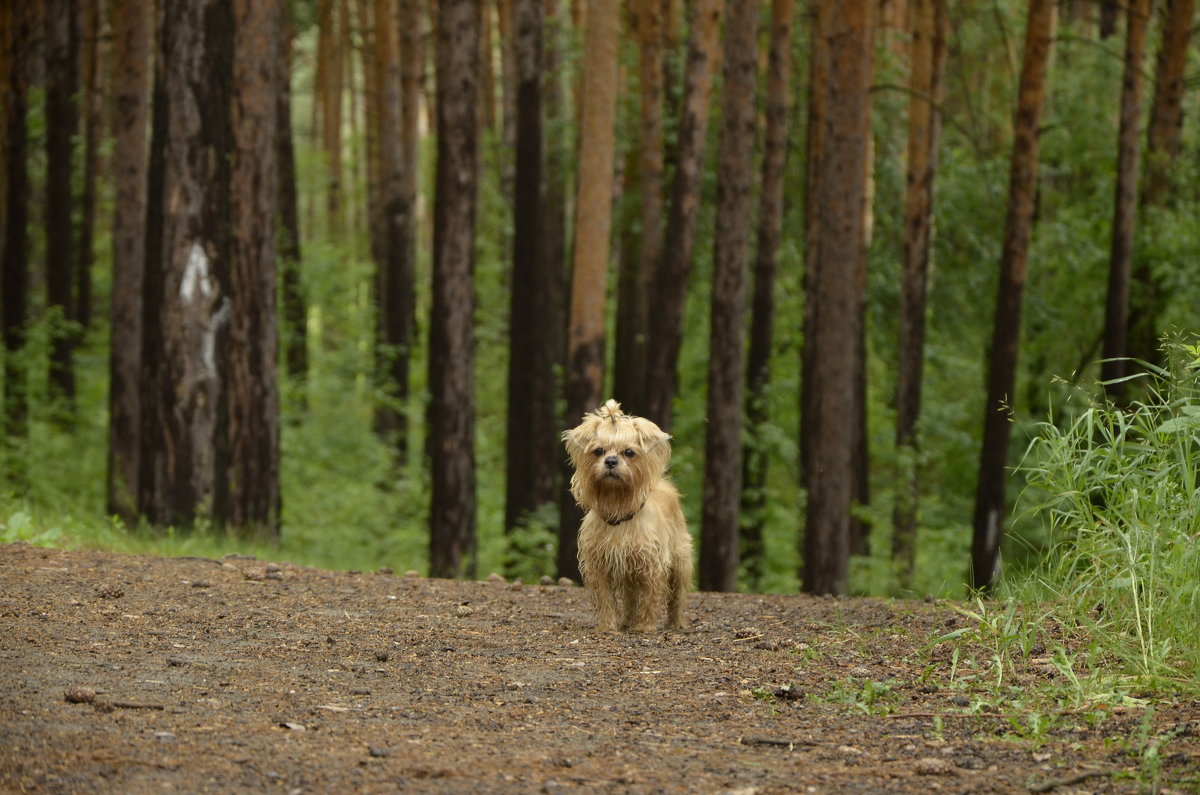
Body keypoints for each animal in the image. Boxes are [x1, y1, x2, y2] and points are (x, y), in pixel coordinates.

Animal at [564, 401, 696, 634]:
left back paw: (675, 623)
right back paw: (626, 621)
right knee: (629, 598)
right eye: (598, 451)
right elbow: (606, 599)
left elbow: (651, 598)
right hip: (629, 575)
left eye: (629, 452)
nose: (610, 461)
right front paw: (608, 625)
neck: (619, 508)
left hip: (680, 560)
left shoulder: (652, 565)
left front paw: (645, 626)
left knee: (677, 596)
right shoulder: (599, 566)